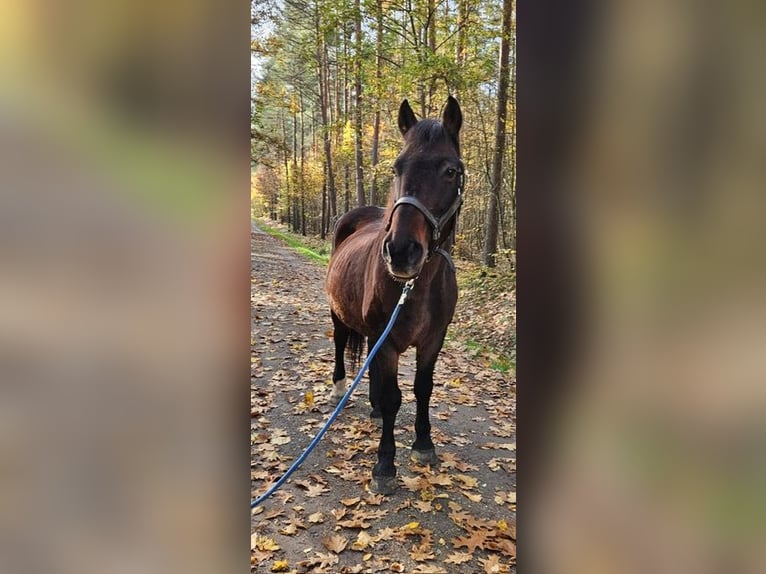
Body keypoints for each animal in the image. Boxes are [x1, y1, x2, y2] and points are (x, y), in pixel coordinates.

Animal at [322, 95, 462, 496]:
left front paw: (424, 445)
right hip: (339, 314)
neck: (418, 284)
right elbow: (392, 398)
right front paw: (385, 464)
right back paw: (340, 388)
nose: (401, 251)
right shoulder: (389, 344)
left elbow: (422, 389)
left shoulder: (433, 340)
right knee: (341, 344)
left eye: (451, 171)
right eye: (396, 168)